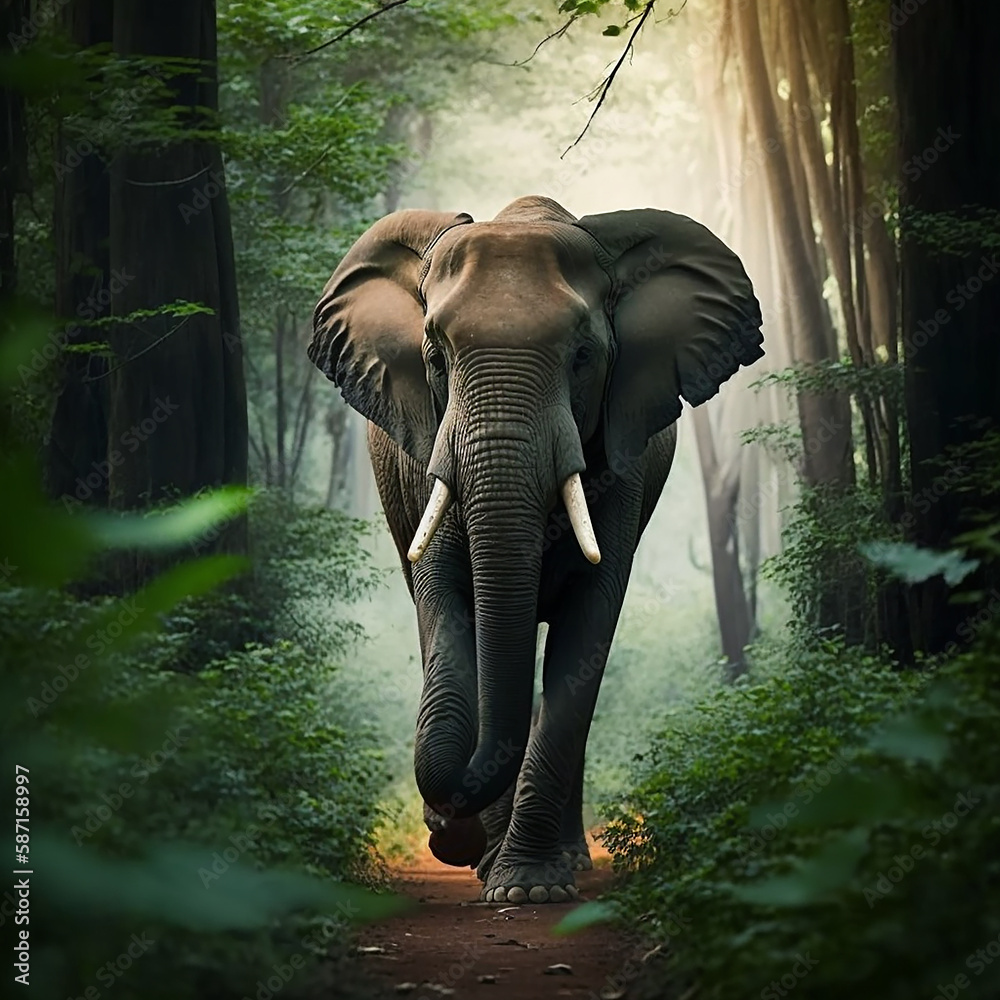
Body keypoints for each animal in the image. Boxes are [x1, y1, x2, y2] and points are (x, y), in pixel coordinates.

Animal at [309, 195, 763, 903]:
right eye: (435, 356)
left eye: (582, 356)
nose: (442, 830)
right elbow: (450, 609)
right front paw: (489, 866)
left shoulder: (622, 460)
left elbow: (584, 634)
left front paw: (528, 888)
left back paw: (563, 858)